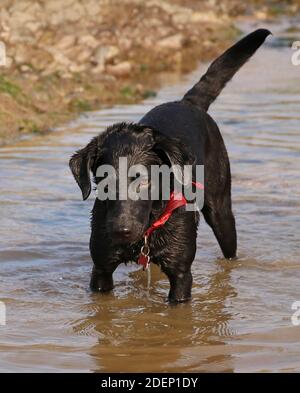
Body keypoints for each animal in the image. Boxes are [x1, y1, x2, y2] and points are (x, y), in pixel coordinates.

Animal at [69, 29, 270, 302]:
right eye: (105, 182)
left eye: (144, 180)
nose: (121, 231)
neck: (147, 229)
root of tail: (188, 103)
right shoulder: (101, 270)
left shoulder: (181, 274)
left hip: (221, 209)